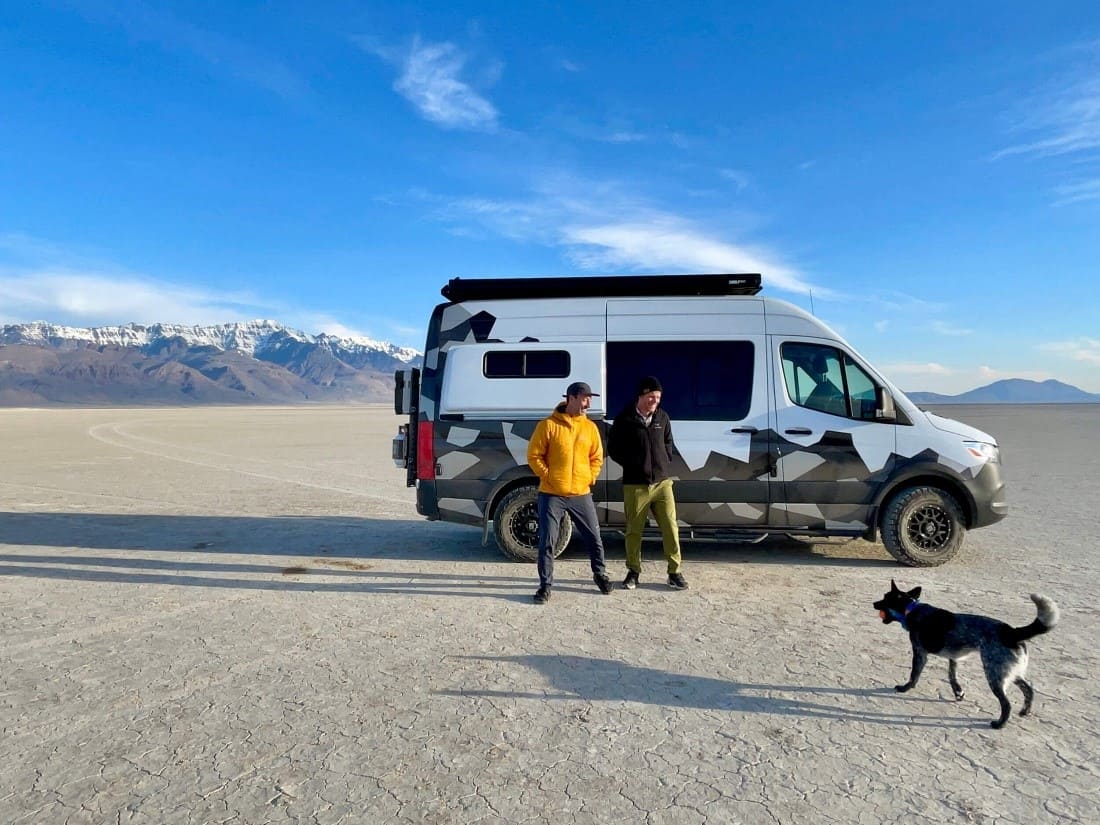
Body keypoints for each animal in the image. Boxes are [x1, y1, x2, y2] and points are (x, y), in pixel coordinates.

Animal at [875, 580, 1056, 730]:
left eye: (884, 598)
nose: (873, 603)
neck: (911, 609)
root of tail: (1012, 632)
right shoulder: (953, 658)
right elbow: (952, 676)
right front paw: (958, 693)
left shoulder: (920, 653)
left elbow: (914, 675)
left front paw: (905, 688)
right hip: (1009, 672)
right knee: (1029, 689)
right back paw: (1025, 711)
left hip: (993, 674)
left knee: (1007, 704)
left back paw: (999, 724)